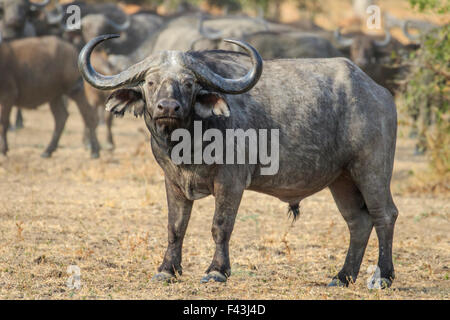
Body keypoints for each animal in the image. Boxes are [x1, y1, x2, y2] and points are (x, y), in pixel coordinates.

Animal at [79, 34, 400, 288]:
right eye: (150, 81)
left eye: (189, 82)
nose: (168, 107)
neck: (188, 142)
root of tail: (378, 92)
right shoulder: (172, 181)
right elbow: (175, 226)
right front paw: (167, 269)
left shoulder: (231, 181)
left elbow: (220, 225)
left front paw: (216, 271)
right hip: (342, 179)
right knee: (358, 221)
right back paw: (342, 276)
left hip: (372, 170)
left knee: (384, 214)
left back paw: (382, 276)